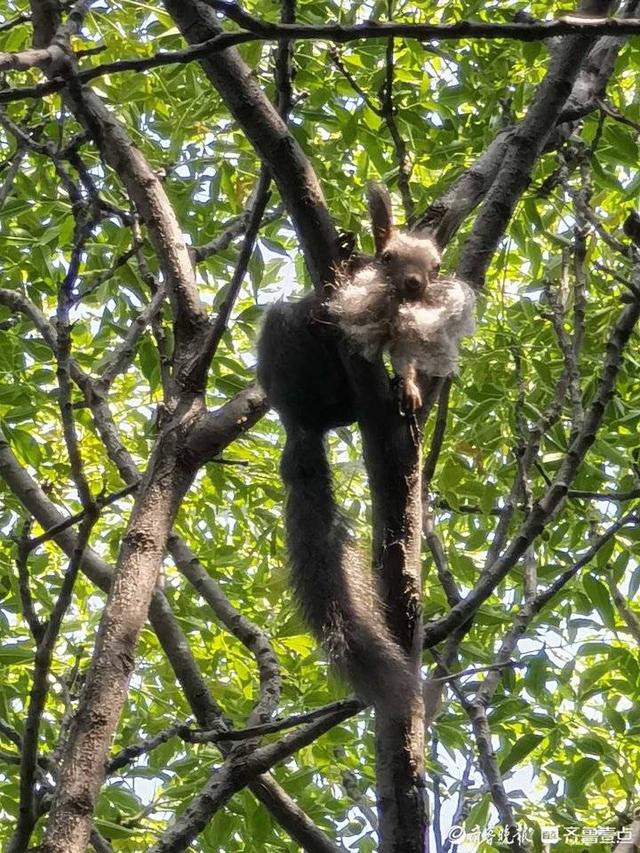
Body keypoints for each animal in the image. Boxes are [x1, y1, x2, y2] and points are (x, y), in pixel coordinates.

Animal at [258, 185, 476, 712]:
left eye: (437, 265)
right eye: (388, 257)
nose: (415, 285)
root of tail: (303, 427)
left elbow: (411, 358)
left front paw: (411, 389)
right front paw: (346, 246)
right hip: (282, 350)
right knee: (291, 329)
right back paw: (316, 328)